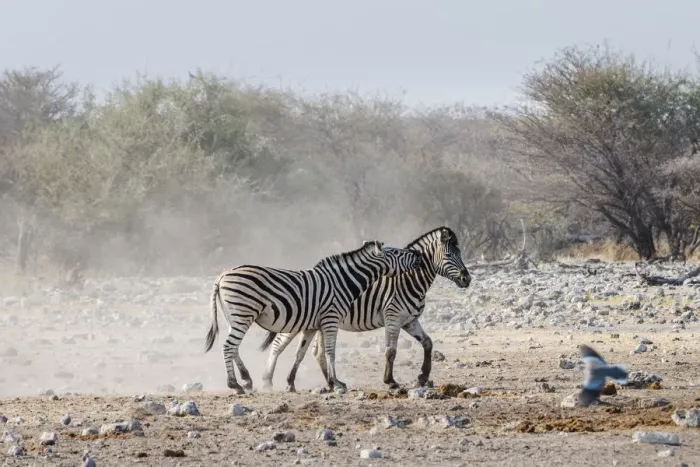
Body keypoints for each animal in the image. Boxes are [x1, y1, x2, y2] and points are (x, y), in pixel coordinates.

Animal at [204, 240, 423, 394]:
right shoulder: (331, 319)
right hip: (242, 313)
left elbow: (301, 354)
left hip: (234, 317)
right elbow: (330, 352)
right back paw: (235, 385)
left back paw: (247, 379)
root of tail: (221, 276)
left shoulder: (312, 325)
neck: (343, 283)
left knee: (233, 347)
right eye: (396, 252)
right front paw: (337, 383)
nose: (418, 254)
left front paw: (292, 383)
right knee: (229, 346)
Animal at [260, 226, 471, 392]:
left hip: (319, 323)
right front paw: (390, 381)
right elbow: (391, 351)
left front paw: (423, 376)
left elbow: (428, 343)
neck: (408, 279)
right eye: (449, 255)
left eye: (460, 254)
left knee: (317, 353)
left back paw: (329, 383)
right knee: (278, 345)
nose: (467, 279)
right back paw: (267, 380)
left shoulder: (410, 320)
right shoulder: (393, 317)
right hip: (298, 319)